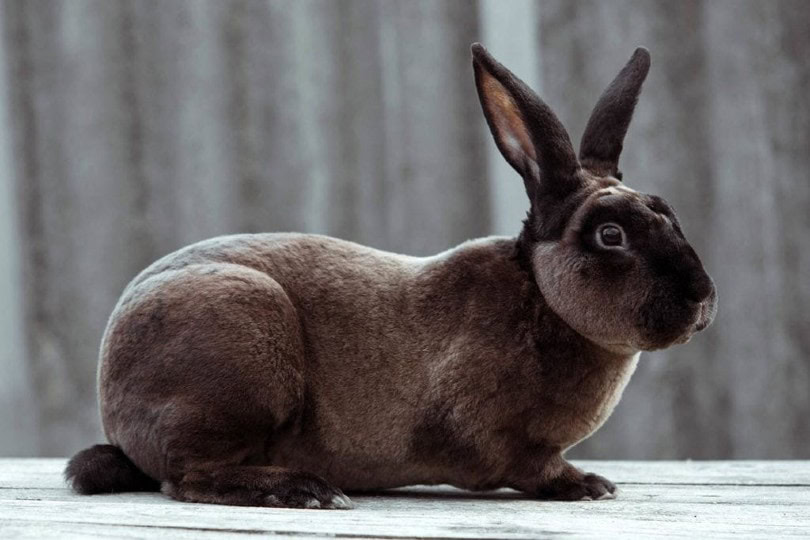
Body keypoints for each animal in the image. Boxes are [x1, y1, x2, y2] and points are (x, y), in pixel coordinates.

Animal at [65, 43, 716, 508]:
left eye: (668, 211)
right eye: (611, 236)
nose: (704, 300)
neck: (542, 298)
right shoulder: (502, 440)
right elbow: (532, 467)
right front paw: (586, 484)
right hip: (239, 349)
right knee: (188, 476)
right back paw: (303, 490)